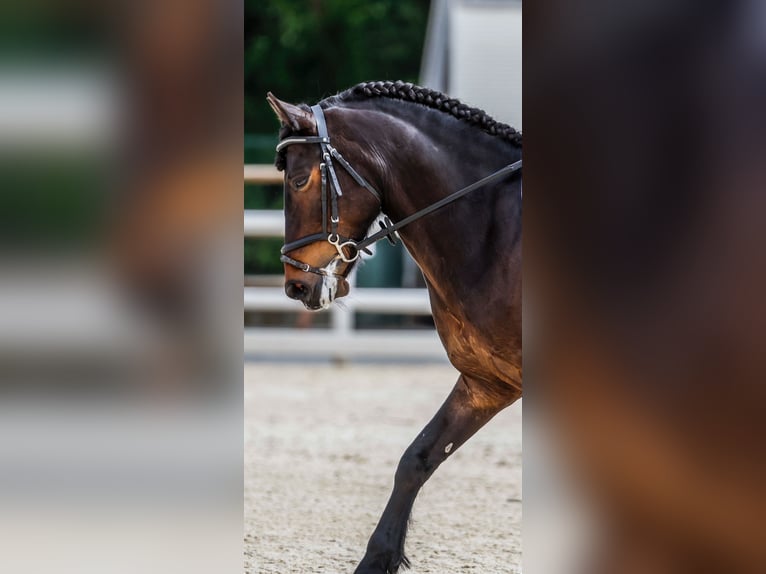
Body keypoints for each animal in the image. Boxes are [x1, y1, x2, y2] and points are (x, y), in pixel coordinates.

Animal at [266, 80, 522, 574]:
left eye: (299, 180)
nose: (294, 285)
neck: (491, 232)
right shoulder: (487, 382)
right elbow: (417, 458)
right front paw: (376, 559)